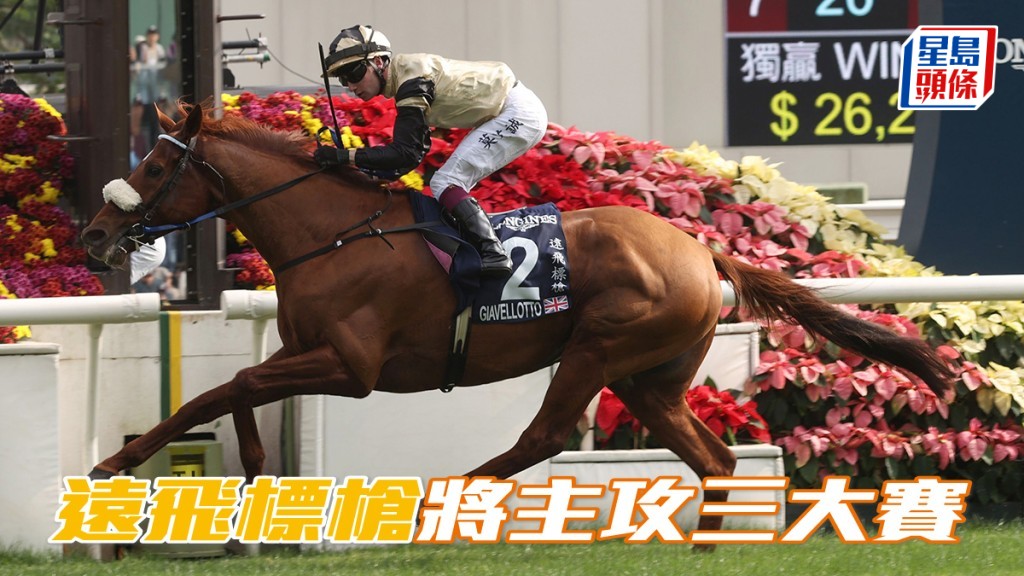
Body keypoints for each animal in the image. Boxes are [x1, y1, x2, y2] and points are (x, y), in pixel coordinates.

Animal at [81, 103, 954, 545]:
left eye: (153, 166)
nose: (94, 233)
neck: (331, 232)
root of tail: (701, 248)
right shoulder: (304, 350)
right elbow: (238, 392)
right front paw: (250, 494)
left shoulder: (352, 368)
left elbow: (220, 389)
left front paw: (115, 461)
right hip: (652, 379)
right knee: (714, 460)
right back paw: (708, 542)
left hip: (600, 348)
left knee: (545, 437)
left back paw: (434, 509)